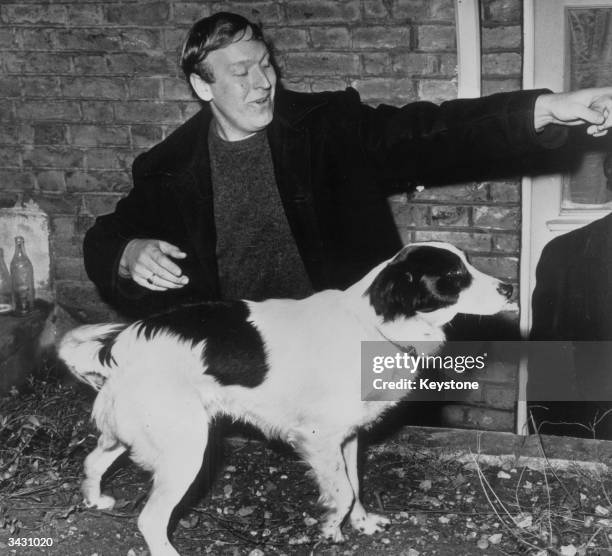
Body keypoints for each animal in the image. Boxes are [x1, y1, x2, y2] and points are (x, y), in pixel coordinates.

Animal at [58, 242, 516, 556]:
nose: (511, 287)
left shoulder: (347, 437)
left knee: (92, 461)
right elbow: (343, 492)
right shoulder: (317, 437)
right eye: (455, 274)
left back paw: (95, 499)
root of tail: (119, 343)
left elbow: (355, 485)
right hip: (186, 449)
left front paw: (361, 524)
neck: (371, 323)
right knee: (150, 519)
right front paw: (332, 528)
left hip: (135, 434)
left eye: (467, 262)